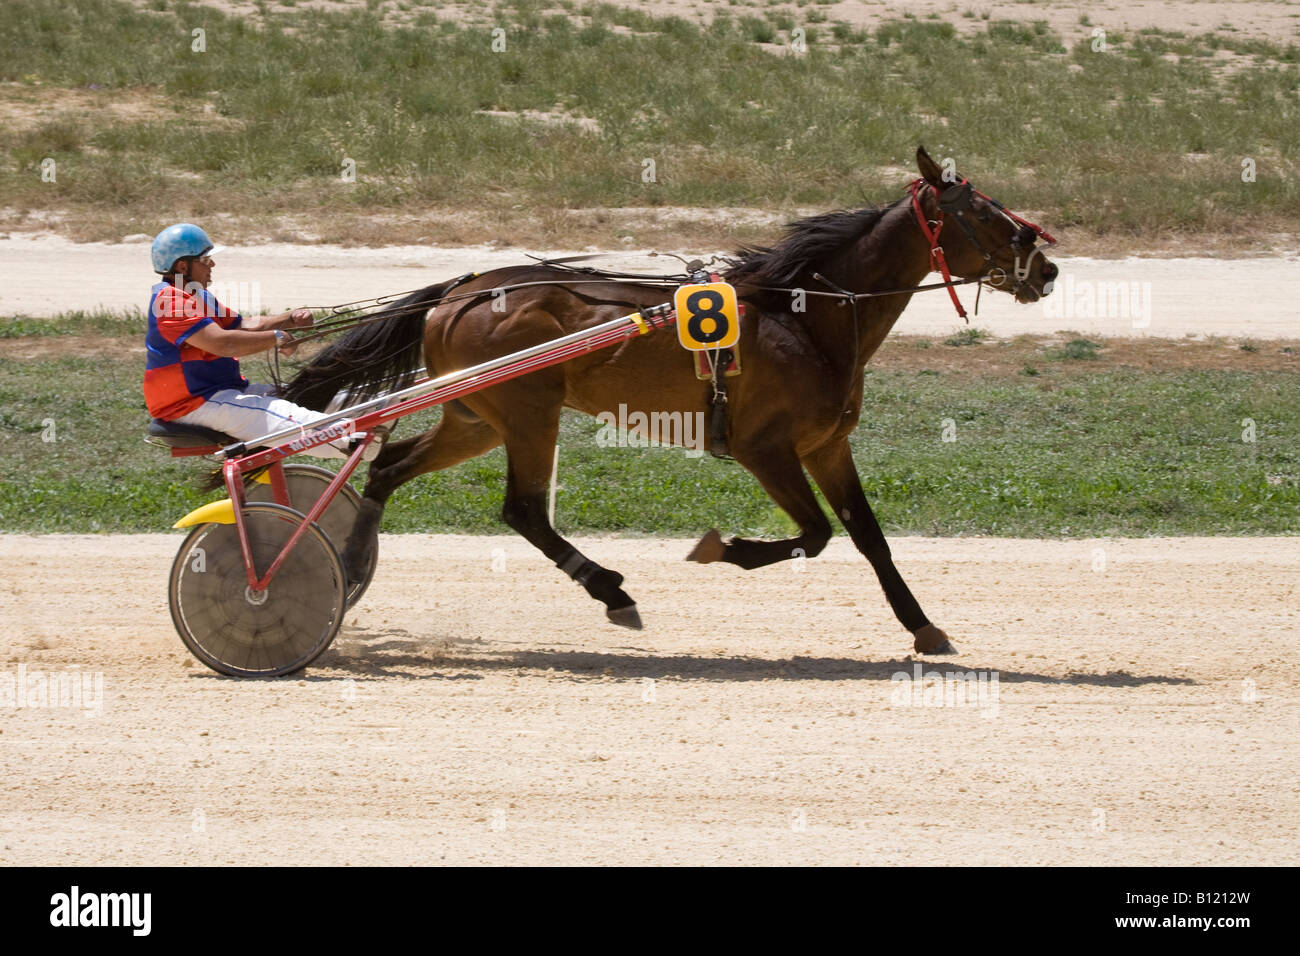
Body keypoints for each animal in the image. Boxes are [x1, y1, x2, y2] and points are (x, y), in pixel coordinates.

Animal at [284, 149, 1055, 655]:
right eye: (982, 211)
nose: (1046, 264)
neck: (806, 317)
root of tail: (458, 291)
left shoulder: (826, 445)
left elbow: (867, 536)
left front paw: (924, 626)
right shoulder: (764, 449)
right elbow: (814, 535)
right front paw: (722, 548)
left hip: (477, 416)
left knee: (387, 467)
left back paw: (349, 566)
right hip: (529, 414)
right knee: (523, 510)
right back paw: (612, 591)